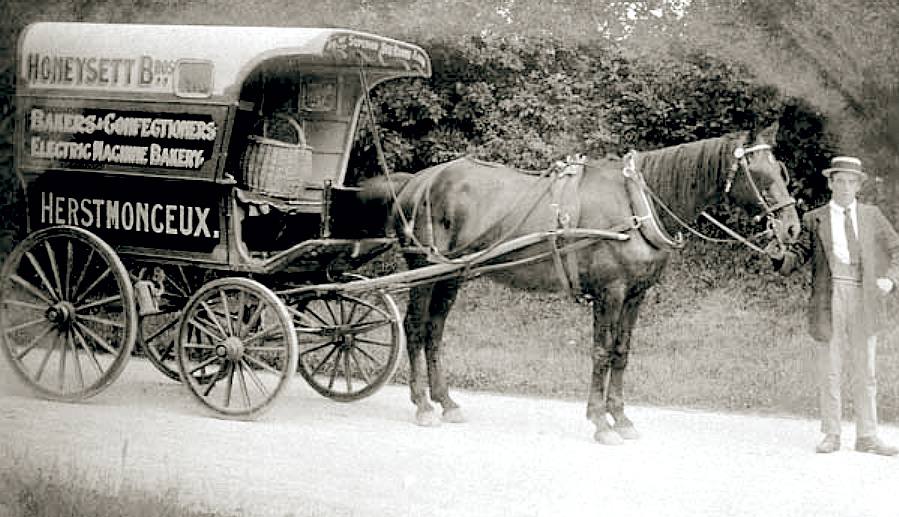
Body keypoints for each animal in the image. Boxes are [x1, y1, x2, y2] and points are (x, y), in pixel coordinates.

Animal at [358, 122, 800, 444]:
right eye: (758, 174)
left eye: (782, 171)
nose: (792, 227)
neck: (636, 208)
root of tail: (419, 181)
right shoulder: (610, 293)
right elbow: (601, 352)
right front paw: (600, 422)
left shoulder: (635, 296)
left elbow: (621, 353)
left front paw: (621, 417)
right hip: (424, 269)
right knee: (416, 329)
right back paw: (422, 405)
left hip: (451, 274)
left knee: (435, 332)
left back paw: (447, 402)